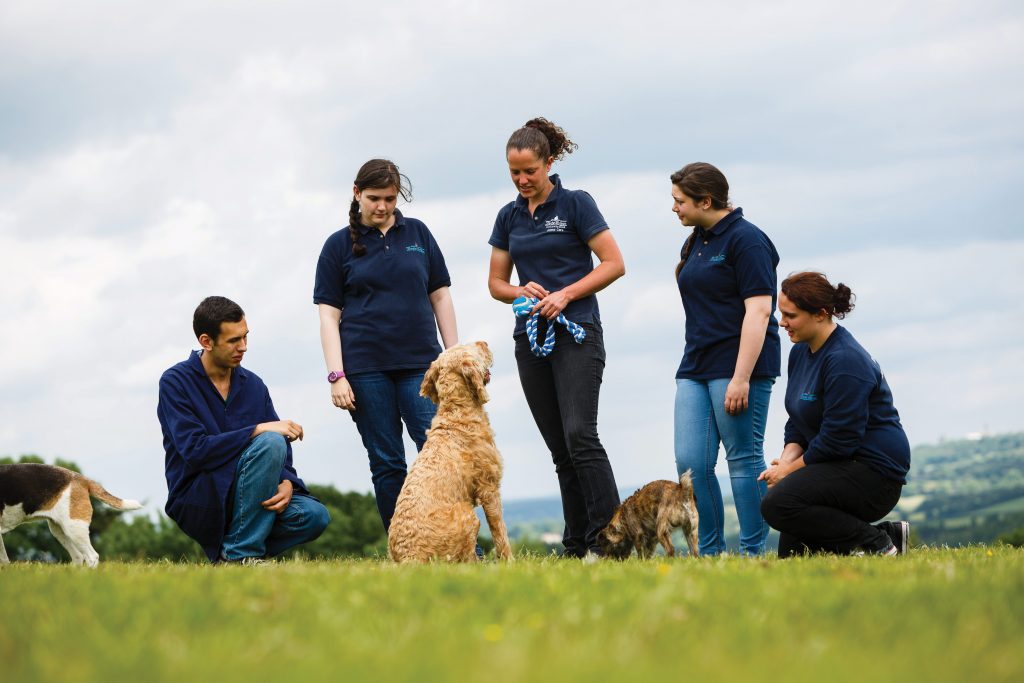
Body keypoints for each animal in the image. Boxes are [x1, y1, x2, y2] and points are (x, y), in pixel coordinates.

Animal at [387, 339, 512, 561]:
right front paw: (510, 561)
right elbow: (500, 532)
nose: (484, 342)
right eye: (472, 349)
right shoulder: (489, 487)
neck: (456, 411)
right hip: (467, 514)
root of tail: (409, 557)